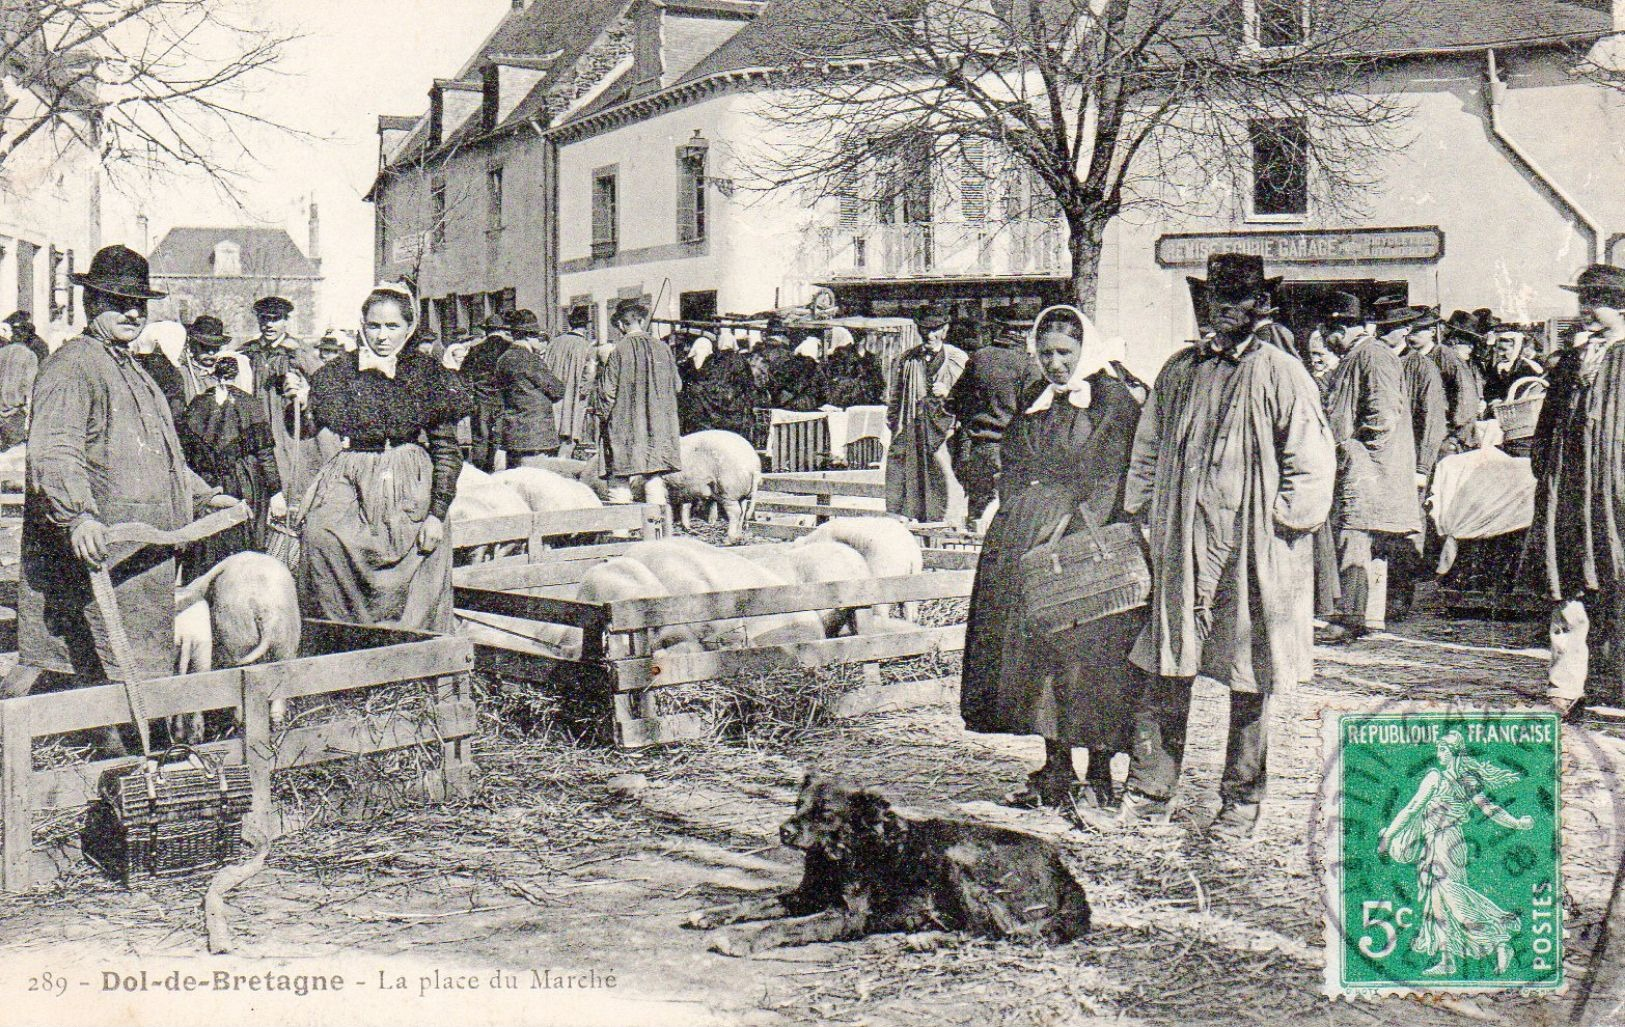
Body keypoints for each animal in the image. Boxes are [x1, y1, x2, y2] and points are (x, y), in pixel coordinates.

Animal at [685, 773, 1092, 962]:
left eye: (825, 813)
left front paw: (741, 940)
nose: (784, 831)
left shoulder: (845, 916)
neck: (841, 853)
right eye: (798, 804)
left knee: (994, 931)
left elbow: (782, 927)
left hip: (959, 858)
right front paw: (711, 914)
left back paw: (927, 938)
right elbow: (758, 903)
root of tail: (1064, 872)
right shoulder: (806, 896)